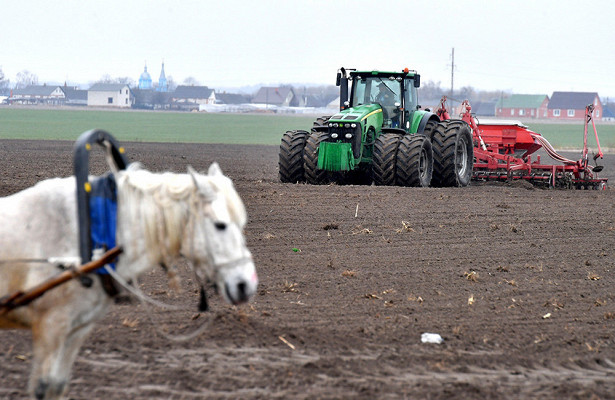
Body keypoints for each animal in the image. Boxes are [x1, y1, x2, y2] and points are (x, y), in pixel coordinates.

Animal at [0, 162, 258, 396]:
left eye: (242, 223)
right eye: (220, 225)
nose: (246, 284)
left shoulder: (76, 329)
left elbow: (57, 385)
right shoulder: (50, 327)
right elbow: (42, 387)